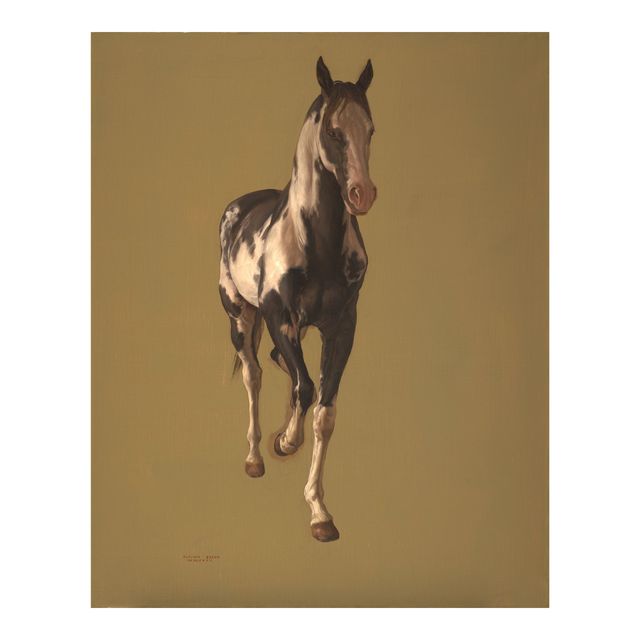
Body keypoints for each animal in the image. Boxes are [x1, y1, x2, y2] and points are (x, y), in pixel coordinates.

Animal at [218, 57, 377, 542]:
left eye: (371, 129)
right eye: (333, 130)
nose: (362, 194)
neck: (316, 245)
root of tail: (236, 208)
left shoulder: (342, 327)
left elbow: (324, 409)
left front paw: (320, 513)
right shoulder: (278, 317)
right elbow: (305, 388)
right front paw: (285, 441)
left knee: (280, 367)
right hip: (240, 318)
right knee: (253, 374)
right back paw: (256, 456)